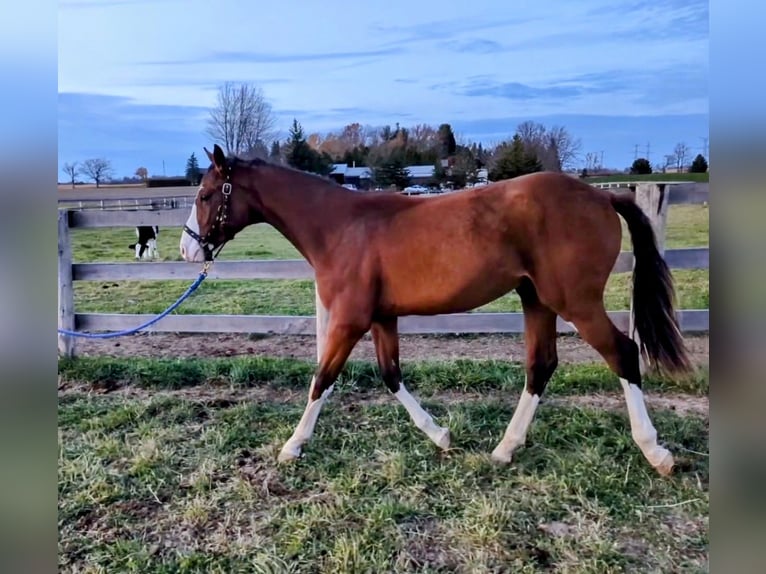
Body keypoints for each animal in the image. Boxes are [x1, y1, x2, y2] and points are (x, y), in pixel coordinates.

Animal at [182, 144, 696, 476]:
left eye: (206, 195)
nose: (190, 249)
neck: (340, 228)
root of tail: (603, 194)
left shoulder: (349, 320)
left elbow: (322, 379)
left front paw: (292, 446)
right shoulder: (381, 318)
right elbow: (391, 376)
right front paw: (442, 437)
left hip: (576, 301)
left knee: (623, 353)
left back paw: (657, 454)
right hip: (536, 301)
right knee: (541, 366)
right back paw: (504, 450)